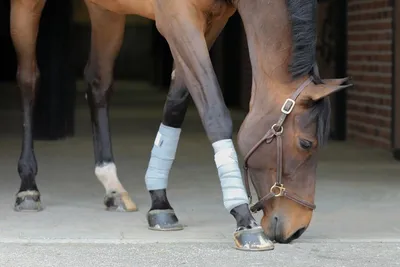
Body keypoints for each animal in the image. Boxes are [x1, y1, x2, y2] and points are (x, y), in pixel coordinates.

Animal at [8, 0, 350, 251]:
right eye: (306, 143)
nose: (297, 228)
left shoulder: (211, 20)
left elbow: (177, 102)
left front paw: (160, 203)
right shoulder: (177, 18)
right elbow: (213, 109)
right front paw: (244, 220)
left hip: (106, 10)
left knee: (98, 83)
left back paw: (113, 186)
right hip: (27, 6)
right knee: (28, 80)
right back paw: (28, 188)